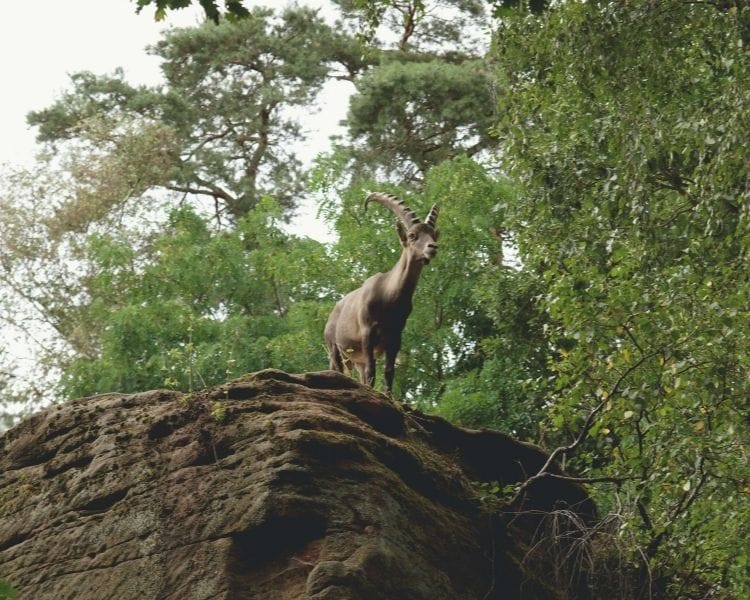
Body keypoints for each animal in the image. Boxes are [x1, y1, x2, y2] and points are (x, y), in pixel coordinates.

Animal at [324, 192, 439, 394]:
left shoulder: (395, 337)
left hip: (356, 359)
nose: (432, 248)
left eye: (433, 235)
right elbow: (372, 371)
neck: (389, 296)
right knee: (337, 369)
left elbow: (389, 372)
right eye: (412, 235)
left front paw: (389, 397)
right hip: (334, 347)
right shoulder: (367, 333)